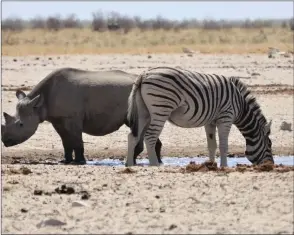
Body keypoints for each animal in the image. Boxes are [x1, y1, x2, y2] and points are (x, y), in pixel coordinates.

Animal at [1, 67, 162, 164]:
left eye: (20, 124)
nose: (5, 141)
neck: (40, 103)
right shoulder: (58, 120)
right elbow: (65, 141)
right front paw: (65, 161)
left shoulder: (72, 118)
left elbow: (77, 140)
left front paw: (79, 162)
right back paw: (155, 161)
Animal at [126, 66, 274, 167]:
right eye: (269, 145)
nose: (271, 165)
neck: (240, 105)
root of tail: (144, 75)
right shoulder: (226, 117)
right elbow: (223, 145)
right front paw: (224, 166)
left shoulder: (210, 121)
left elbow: (212, 145)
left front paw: (212, 165)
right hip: (161, 108)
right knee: (150, 136)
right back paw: (155, 165)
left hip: (144, 112)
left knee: (133, 136)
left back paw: (130, 165)